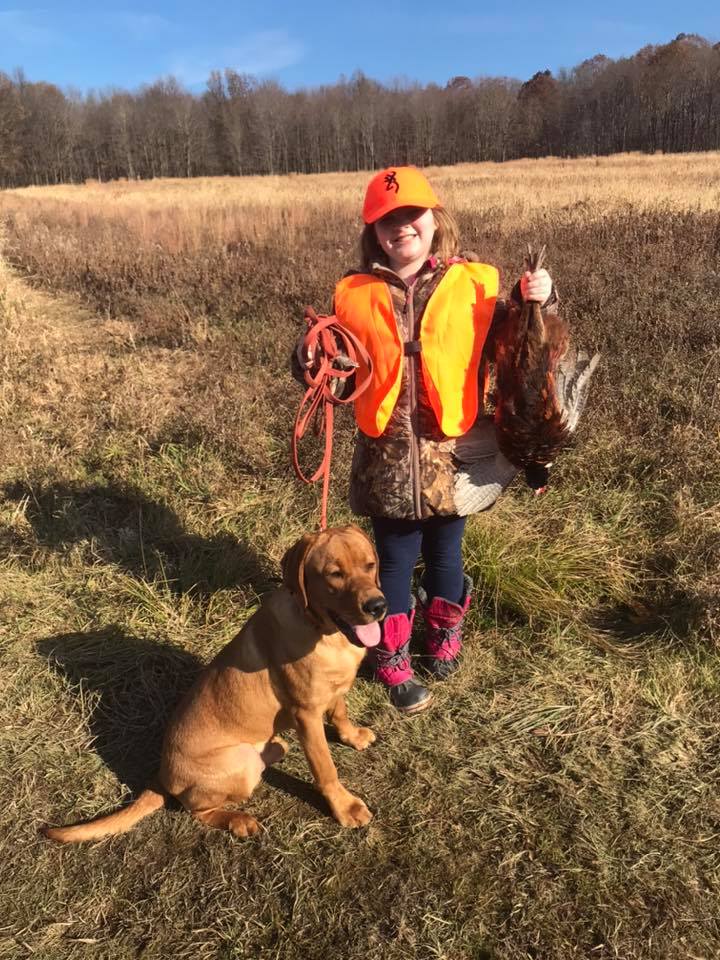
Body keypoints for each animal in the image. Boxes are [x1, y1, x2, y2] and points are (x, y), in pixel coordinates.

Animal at [42, 520, 386, 844]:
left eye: (370, 565)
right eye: (334, 574)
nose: (378, 606)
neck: (324, 631)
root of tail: (162, 775)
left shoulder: (333, 691)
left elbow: (340, 712)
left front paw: (352, 735)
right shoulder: (307, 714)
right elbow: (325, 768)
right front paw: (345, 807)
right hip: (239, 762)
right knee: (197, 810)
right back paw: (239, 820)